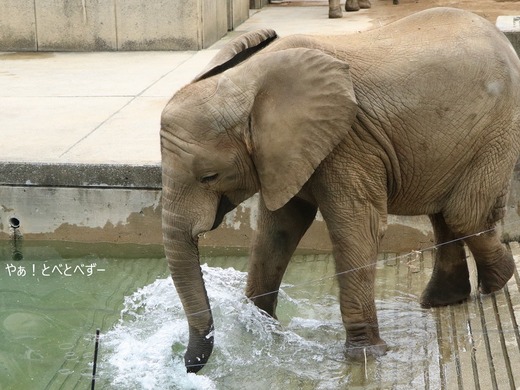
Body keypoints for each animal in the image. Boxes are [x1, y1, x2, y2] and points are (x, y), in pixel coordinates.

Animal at [159, 6, 520, 372]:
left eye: (209, 176)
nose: (187, 364)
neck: (246, 83)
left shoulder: (347, 142)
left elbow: (356, 229)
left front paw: (363, 355)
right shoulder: (284, 155)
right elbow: (278, 231)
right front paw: (258, 332)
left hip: (498, 128)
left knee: (464, 216)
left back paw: (497, 282)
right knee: (445, 215)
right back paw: (444, 300)